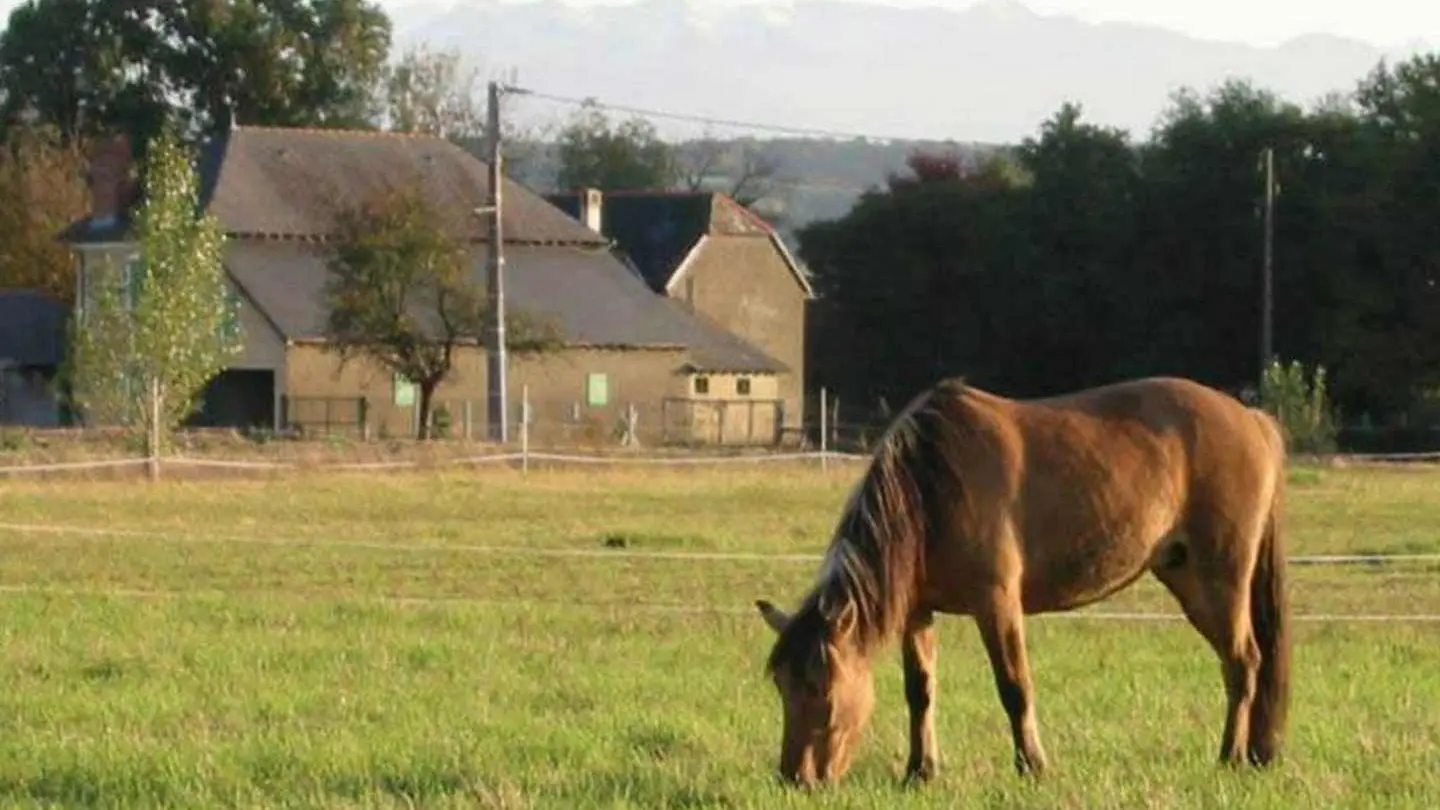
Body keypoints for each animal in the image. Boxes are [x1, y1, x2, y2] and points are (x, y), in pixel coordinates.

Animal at [760, 374, 1290, 784]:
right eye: (782, 687)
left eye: (822, 689)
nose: (796, 778)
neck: (932, 486)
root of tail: (1253, 421)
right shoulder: (918, 611)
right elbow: (921, 691)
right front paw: (920, 771)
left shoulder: (996, 604)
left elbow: (1014, 686)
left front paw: (1032, 765)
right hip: (1186, 577)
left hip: (1219, 581)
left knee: (1243, 662)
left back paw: (1230, 757)